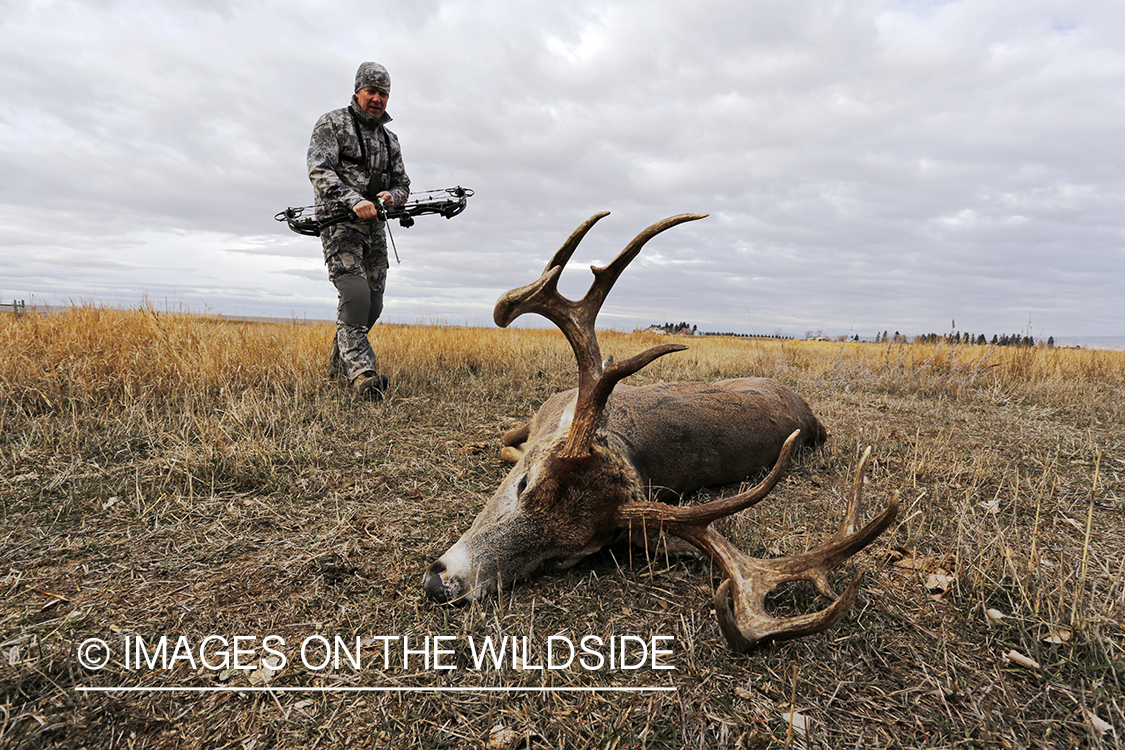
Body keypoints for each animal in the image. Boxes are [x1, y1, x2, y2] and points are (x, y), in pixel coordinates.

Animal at [423, 211, 895, 652]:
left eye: (563, 558)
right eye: (524, 486)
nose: (440, 585)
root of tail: (810, 416)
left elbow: (506, 445)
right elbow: (506, 443)